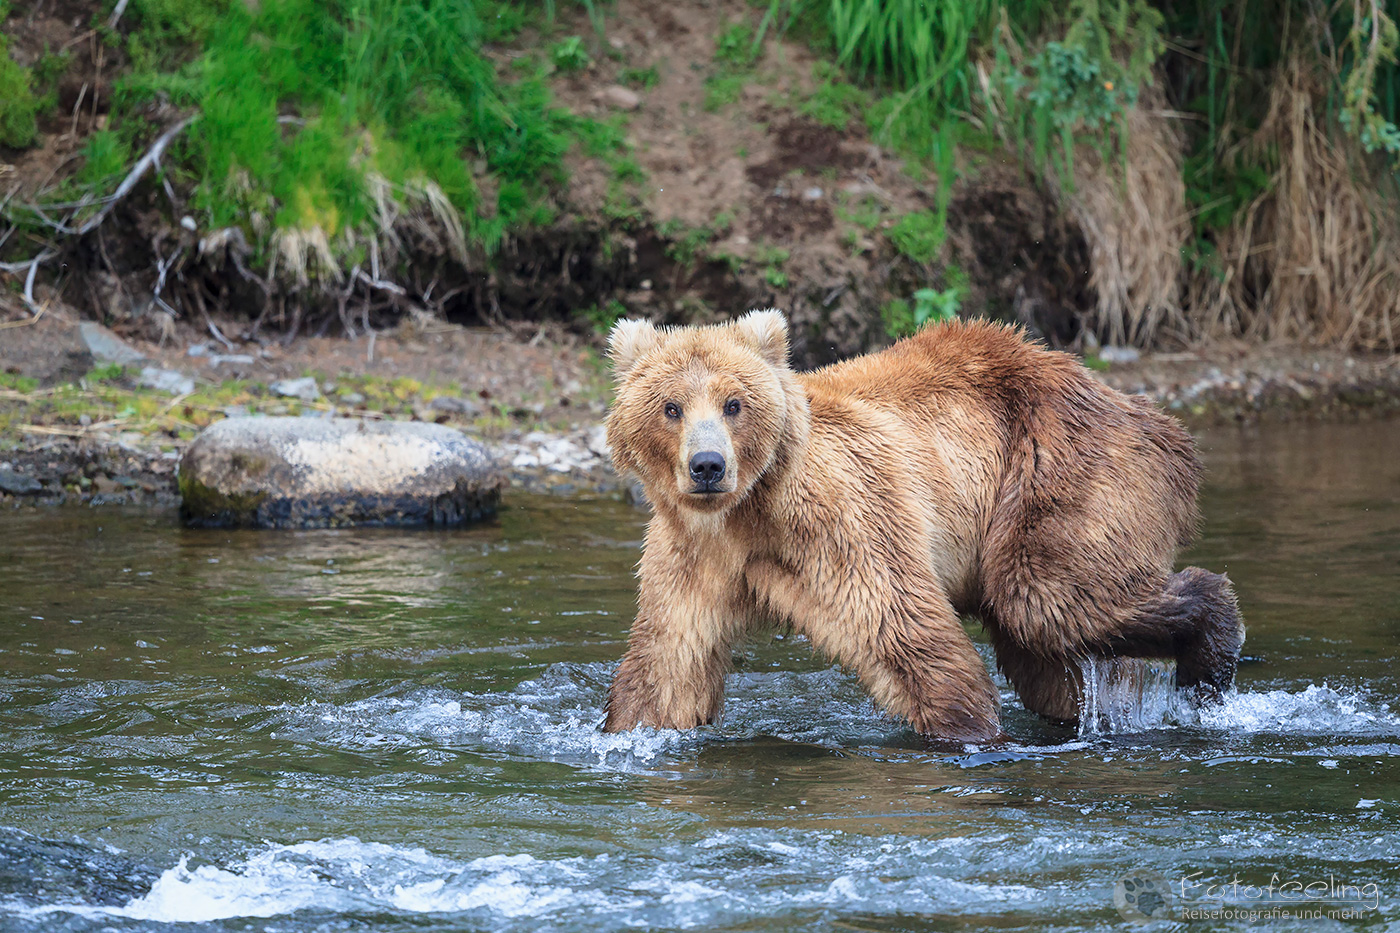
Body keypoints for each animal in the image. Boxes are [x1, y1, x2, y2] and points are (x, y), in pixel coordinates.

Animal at [601, 309, 1244, 742]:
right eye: (671, 407)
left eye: (734, 403)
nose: (708, 466)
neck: (751, 512)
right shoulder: (695, 555)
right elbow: (667, 663)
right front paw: (628, 728)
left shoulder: (843, 525)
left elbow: (908, 637)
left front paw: (971, 733)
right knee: (1051, 657)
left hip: (1061, 468)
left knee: (1047, 595)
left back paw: (1207, 661)